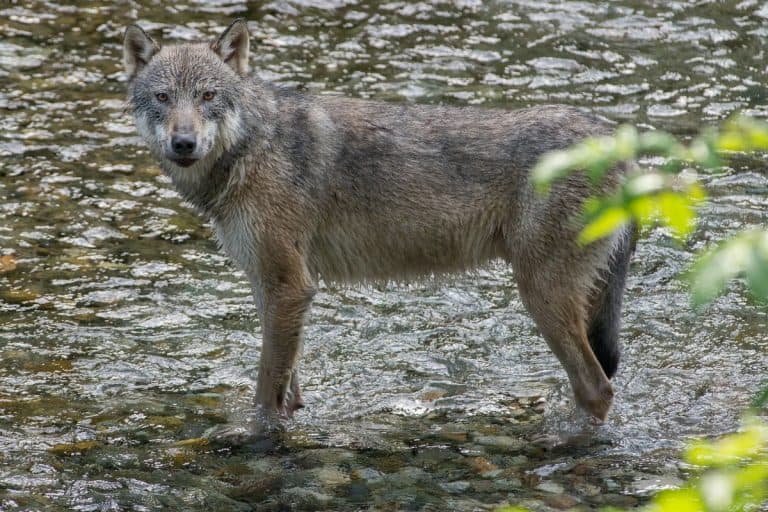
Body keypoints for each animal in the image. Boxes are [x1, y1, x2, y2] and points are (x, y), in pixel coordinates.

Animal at [122, 19, 634, 423]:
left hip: (541, 295)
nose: (183, 143)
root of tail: (614, 141)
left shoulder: (290, 286)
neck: (253, 147)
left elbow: (266, 392)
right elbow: (289, 386)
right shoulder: (271, 285)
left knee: (597, 388)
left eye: (207, 96)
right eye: (163, 98)